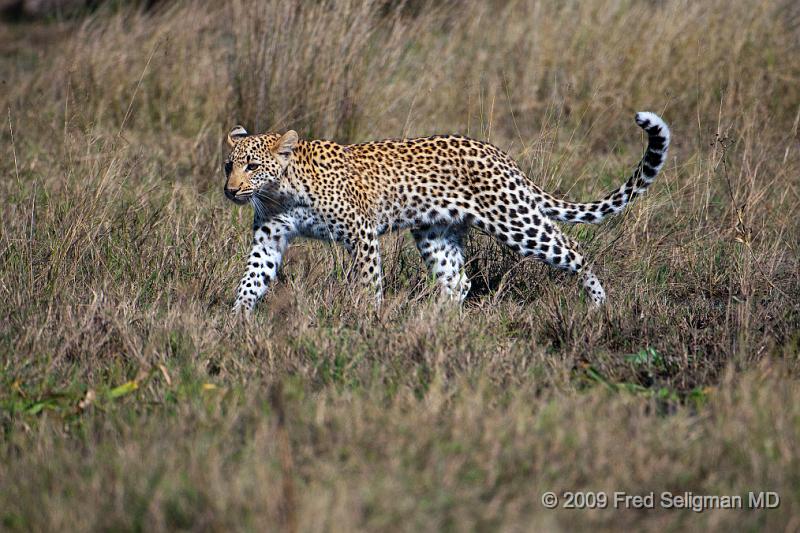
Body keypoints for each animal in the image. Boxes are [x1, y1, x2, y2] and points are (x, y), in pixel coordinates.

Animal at [223, 110, 668, 314]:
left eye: (253, 166)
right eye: (229, 165)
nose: (229, 190)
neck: (281, 191)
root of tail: (501, 155)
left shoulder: (361, 234)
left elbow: (369, 283)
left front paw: (368, 318)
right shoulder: (269, 238)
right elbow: (252, 279)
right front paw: (236, 322)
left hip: (516, 222)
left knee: (575, 251)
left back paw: (597, 305)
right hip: (436, 233)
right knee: (458, 282)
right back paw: (433, 320)